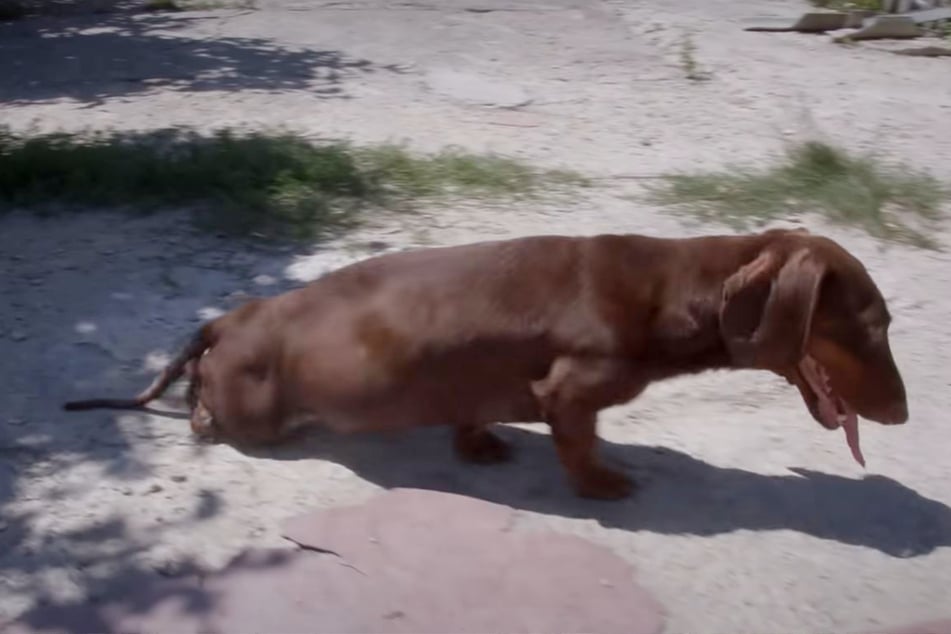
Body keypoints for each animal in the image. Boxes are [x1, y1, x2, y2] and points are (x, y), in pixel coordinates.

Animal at [63, 228, 912, 498]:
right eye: (872, 324)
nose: (905, 415)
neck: (666, 292)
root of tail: (226, 317)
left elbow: (474, 413)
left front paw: (478, 445)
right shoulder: (570, 390)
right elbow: (578, 444)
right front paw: (601, 484)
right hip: (255, 411)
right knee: (206, 407)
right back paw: (204, 414)